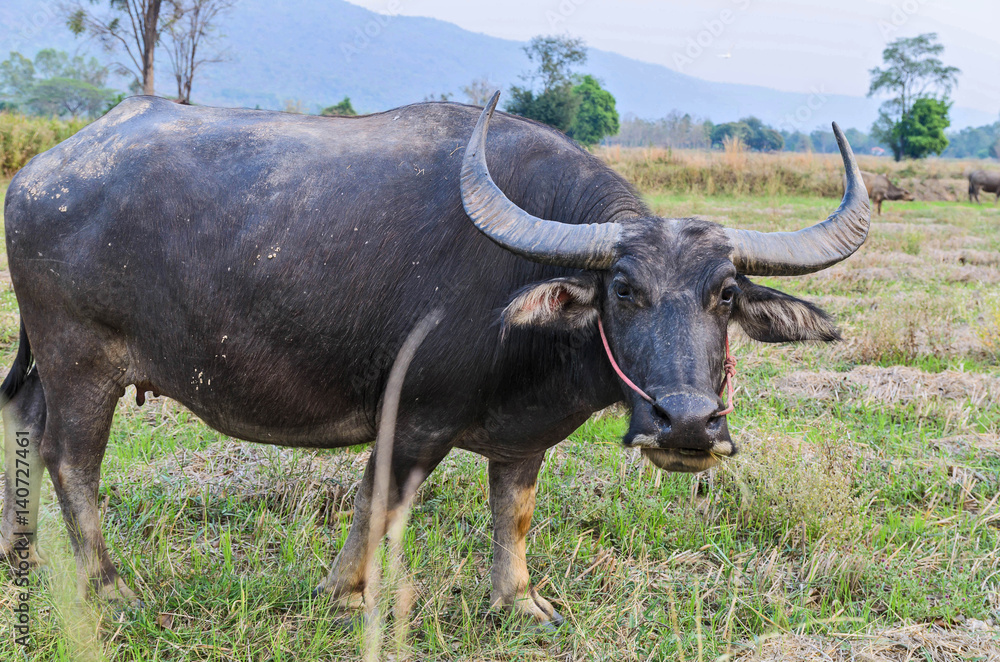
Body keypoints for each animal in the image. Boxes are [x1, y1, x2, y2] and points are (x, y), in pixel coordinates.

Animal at [0, 93, 868, 628]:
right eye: (623, 289)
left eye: (724, 293)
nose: (687, 424)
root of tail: (39, 173)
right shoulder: (414, 417)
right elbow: (378, 503)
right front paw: (346, 595)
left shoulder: (522, 438)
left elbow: (512, 513)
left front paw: (518, 602)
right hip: (82, 361)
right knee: (72, 458)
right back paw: (110, 588)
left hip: (52, 365)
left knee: (24, 419)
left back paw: (22, 554)